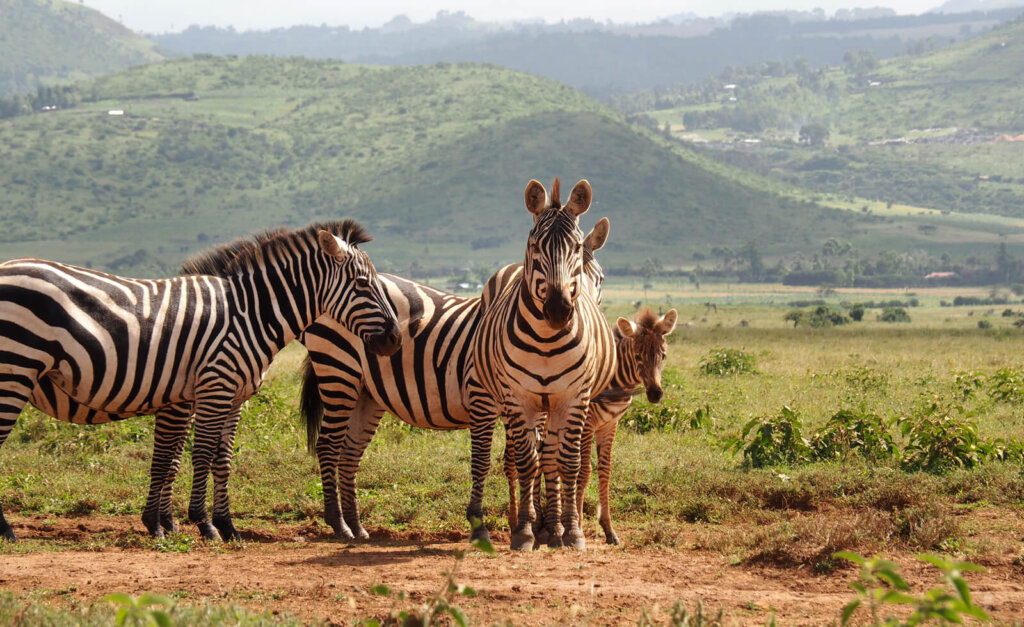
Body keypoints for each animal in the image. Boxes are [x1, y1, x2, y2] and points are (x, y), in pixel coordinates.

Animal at [0, 220, 399, 542]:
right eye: (363, 284)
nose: (395, 339)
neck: (249, 315)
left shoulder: (232, 397)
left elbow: (216, 458)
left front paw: (223, 525)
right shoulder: (212, 388)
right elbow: (198, 454)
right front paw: (200, 524)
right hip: (14, 370)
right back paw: (7, 532)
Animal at [299, 216, 610, 540]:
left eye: (600, 279)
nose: (565, 317)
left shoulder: (533, 405)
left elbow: (529, 458)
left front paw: (537, 523)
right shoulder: (483, 398)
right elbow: (490, 460)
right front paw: (505, 524)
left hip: (366, 393)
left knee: (350, 452)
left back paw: (356, 526)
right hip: (338, 372)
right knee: (328, 446)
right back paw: (338, 523)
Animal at [465, 178, 616, 551]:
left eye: (576, 247)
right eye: (534, 245)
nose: (559, 310)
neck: (547, 339)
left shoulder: (574, 399)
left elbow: (567, 462)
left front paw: (569, 530)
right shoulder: (519, 398)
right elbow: (526, 461)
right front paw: (525, 529)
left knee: (548, 455)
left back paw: (550, 523)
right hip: (494, 396)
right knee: (494, 457)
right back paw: (503, 522)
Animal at [504, 308, 678, 545]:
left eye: (663, 355)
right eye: (637, 356)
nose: (655, 394)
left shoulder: (610, 425)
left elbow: (605, 471)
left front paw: (608, 529)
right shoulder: (587, 424)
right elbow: (584, 471)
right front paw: (576, 525)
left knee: (539, 460)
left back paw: (541, 523)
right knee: (512, 463)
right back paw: (517, 524)